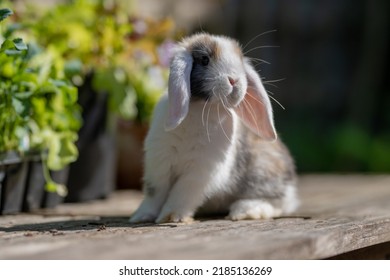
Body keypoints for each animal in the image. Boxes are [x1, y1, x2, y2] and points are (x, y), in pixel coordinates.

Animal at [130, 32, 298, 224]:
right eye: (204, 60)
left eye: (240, 61)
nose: (234, 79)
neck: (200, 107)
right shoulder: (159, 164)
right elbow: (154, 193)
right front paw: (141, 216)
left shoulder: (201, 170)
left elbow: (182, 193)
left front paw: (172, 217)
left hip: (263, 173)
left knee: (276, 203)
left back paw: (245, 211)